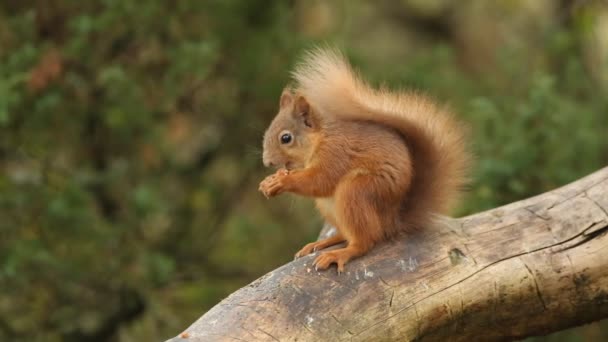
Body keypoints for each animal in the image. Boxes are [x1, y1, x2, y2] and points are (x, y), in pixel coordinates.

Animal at [256, 48, 470, 272]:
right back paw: (323, 242)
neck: (320, 139)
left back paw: (341, 253)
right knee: (345, 233)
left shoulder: (336, 153)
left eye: (285, 138)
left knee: (365, 241)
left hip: (357, 191)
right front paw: (268, 181)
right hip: (330, 206)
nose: (267, 162)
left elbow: (320, 180)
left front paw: (282, 181)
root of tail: (392, 222)